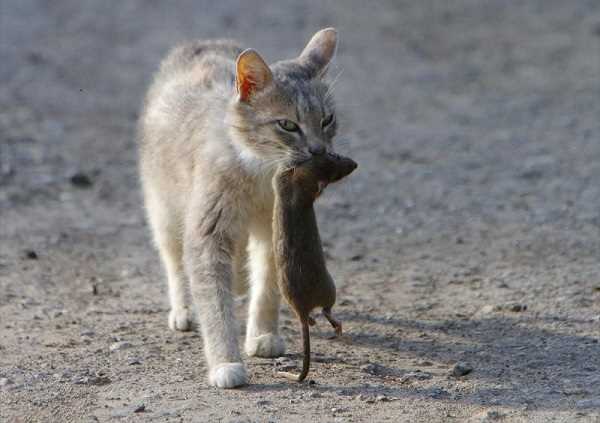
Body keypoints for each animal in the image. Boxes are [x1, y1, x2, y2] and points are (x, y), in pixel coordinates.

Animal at [138, 28, 340, 390]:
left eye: (327, 120)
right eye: (288, 125)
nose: (318, 150)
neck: (261, 173)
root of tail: (202, 42)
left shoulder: (275, 233)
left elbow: (267, 287)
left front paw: (262, 335)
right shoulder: (207, 233)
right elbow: (215, 306)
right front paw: (225, 362)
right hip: (164, 212)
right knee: (175, 264)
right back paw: (184, 309)